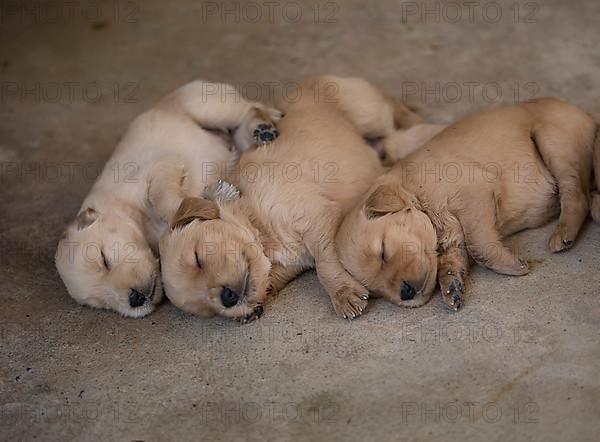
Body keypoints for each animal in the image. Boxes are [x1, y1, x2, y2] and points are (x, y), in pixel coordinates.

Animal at [55, 80, 282, 318]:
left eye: (104, 259)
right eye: (101, 303)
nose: (134, 299)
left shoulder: (159, 168)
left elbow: (161, 198)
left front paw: (210, 196)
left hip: (209, 106)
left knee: (248, 107)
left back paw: (262, 125)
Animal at [158, 74, 422, 320]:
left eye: (198, 259)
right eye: (207, 310)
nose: (227, 299)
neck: (257, 224)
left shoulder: (317, 218)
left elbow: (325, 263)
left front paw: (344, 294)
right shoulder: (289, 264)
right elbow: (272, 279)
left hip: (368, 113)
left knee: (393, 109)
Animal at [338, 96, 600, 310]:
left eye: (383, 252)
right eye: (375, 291)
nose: (405, 293)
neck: (418, 195)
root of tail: (586, 114)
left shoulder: (474, 192)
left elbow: (479, 246)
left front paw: (514, 265)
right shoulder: (453, 238)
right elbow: (453, 260)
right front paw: (451, 285)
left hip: (554, 140)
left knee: (576, 194)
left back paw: (563, 234)